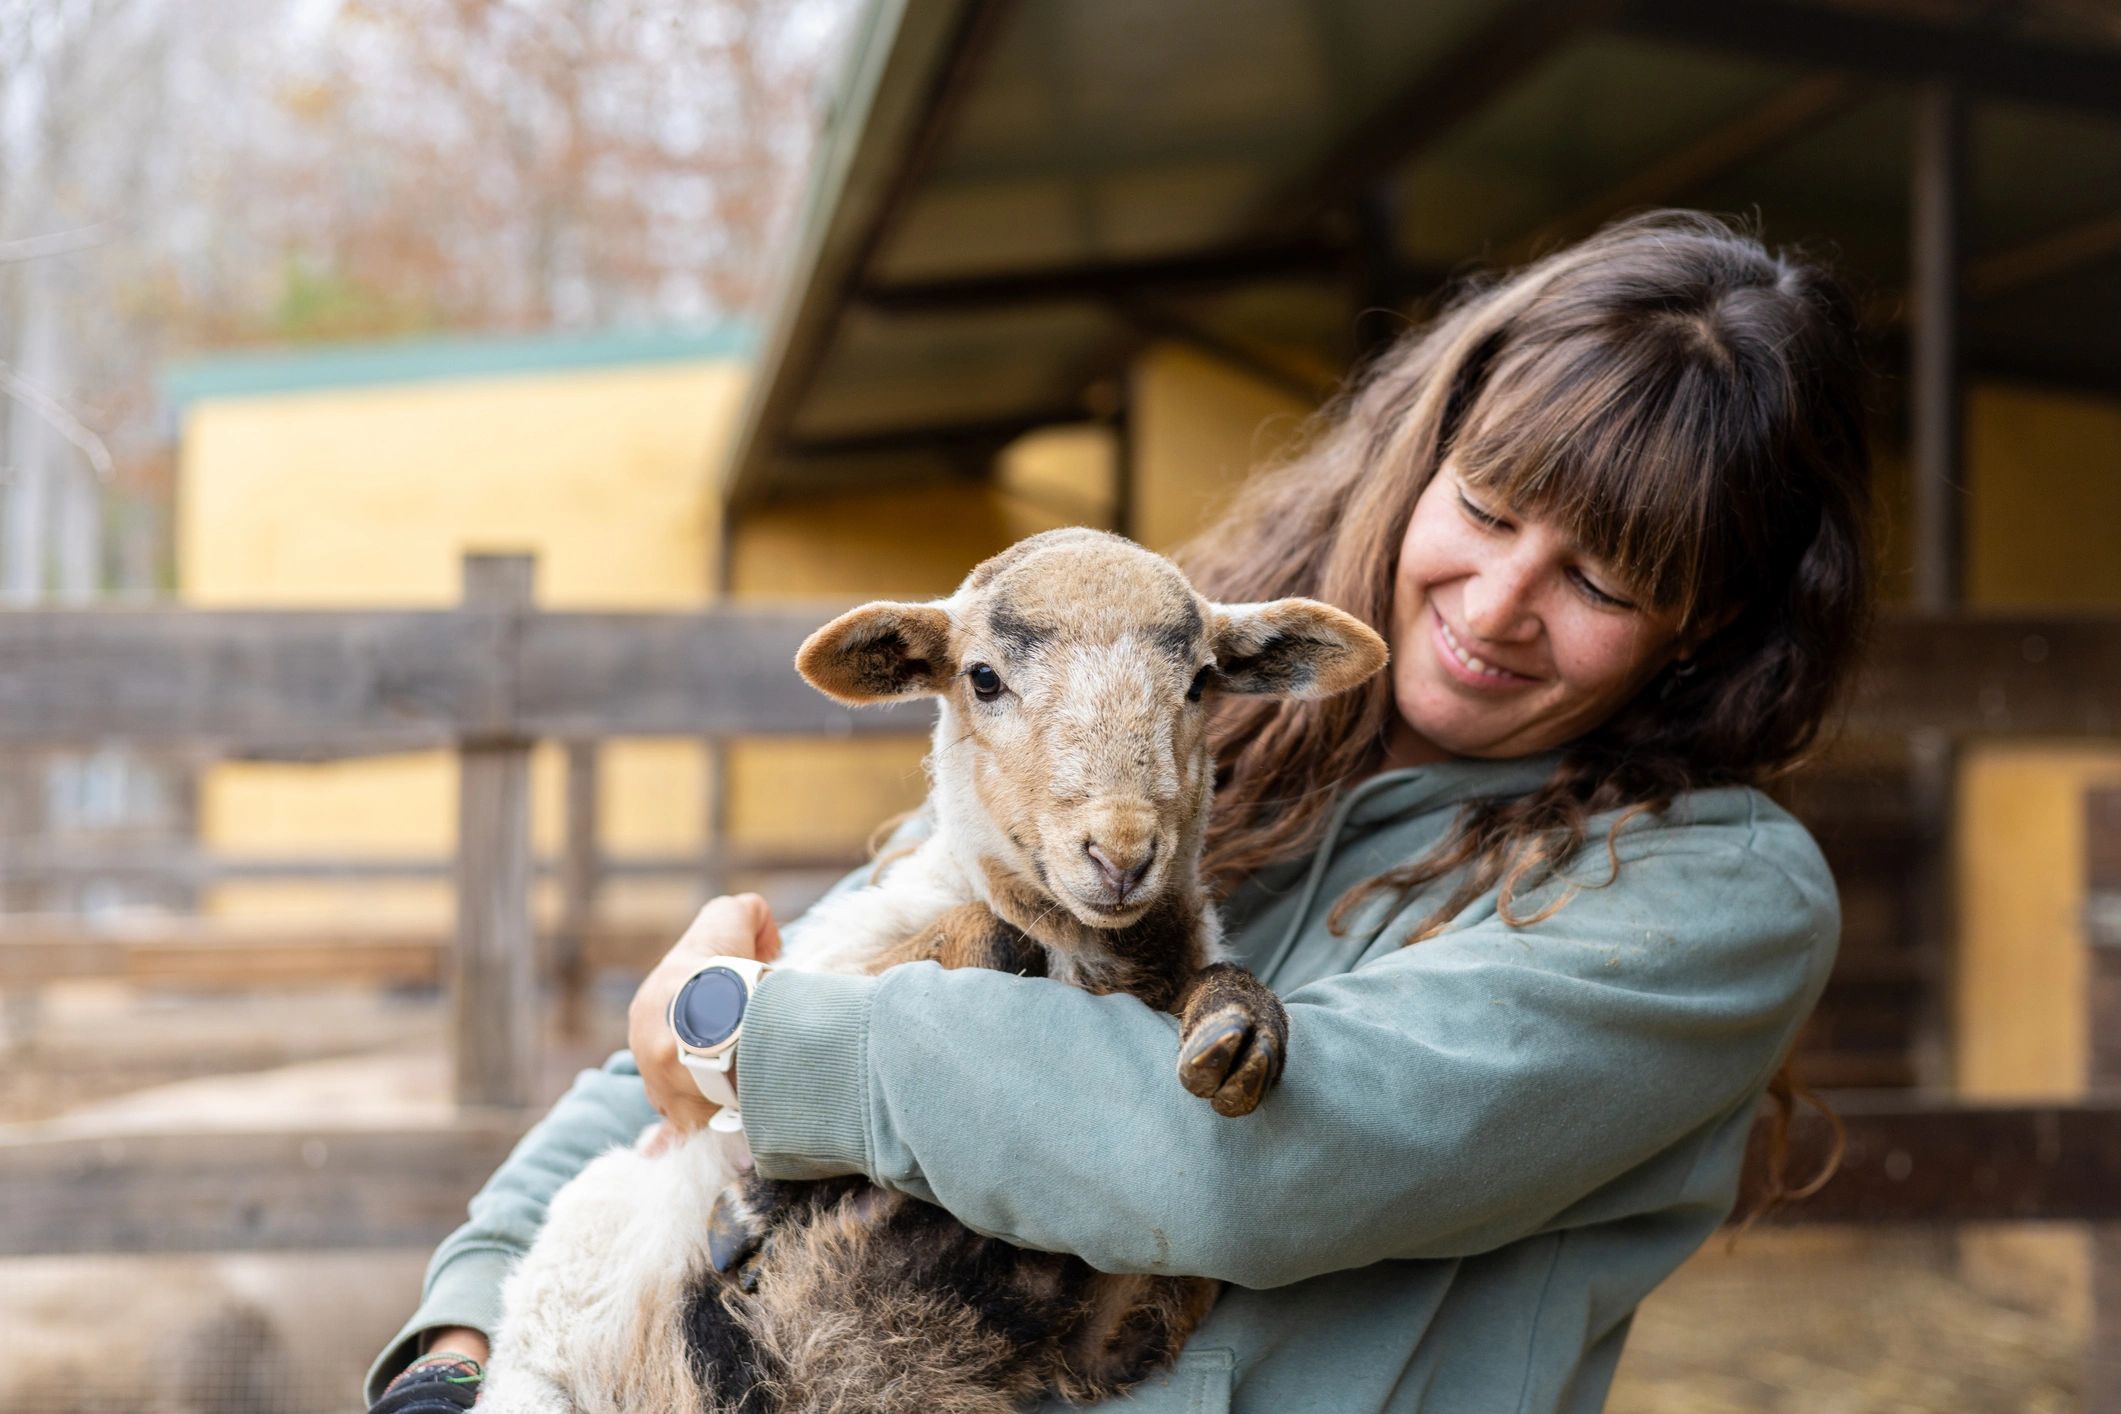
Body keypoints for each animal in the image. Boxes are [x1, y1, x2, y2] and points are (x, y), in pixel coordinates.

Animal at [476, 528, 1387, 1414]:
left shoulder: (1113, 1323)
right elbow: (994, 939)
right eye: (982, 678)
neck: (1096, 959)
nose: (1122, 854)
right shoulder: (836, 956)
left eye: (1200, 683)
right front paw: (751, 1205)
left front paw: (1238, 1030)